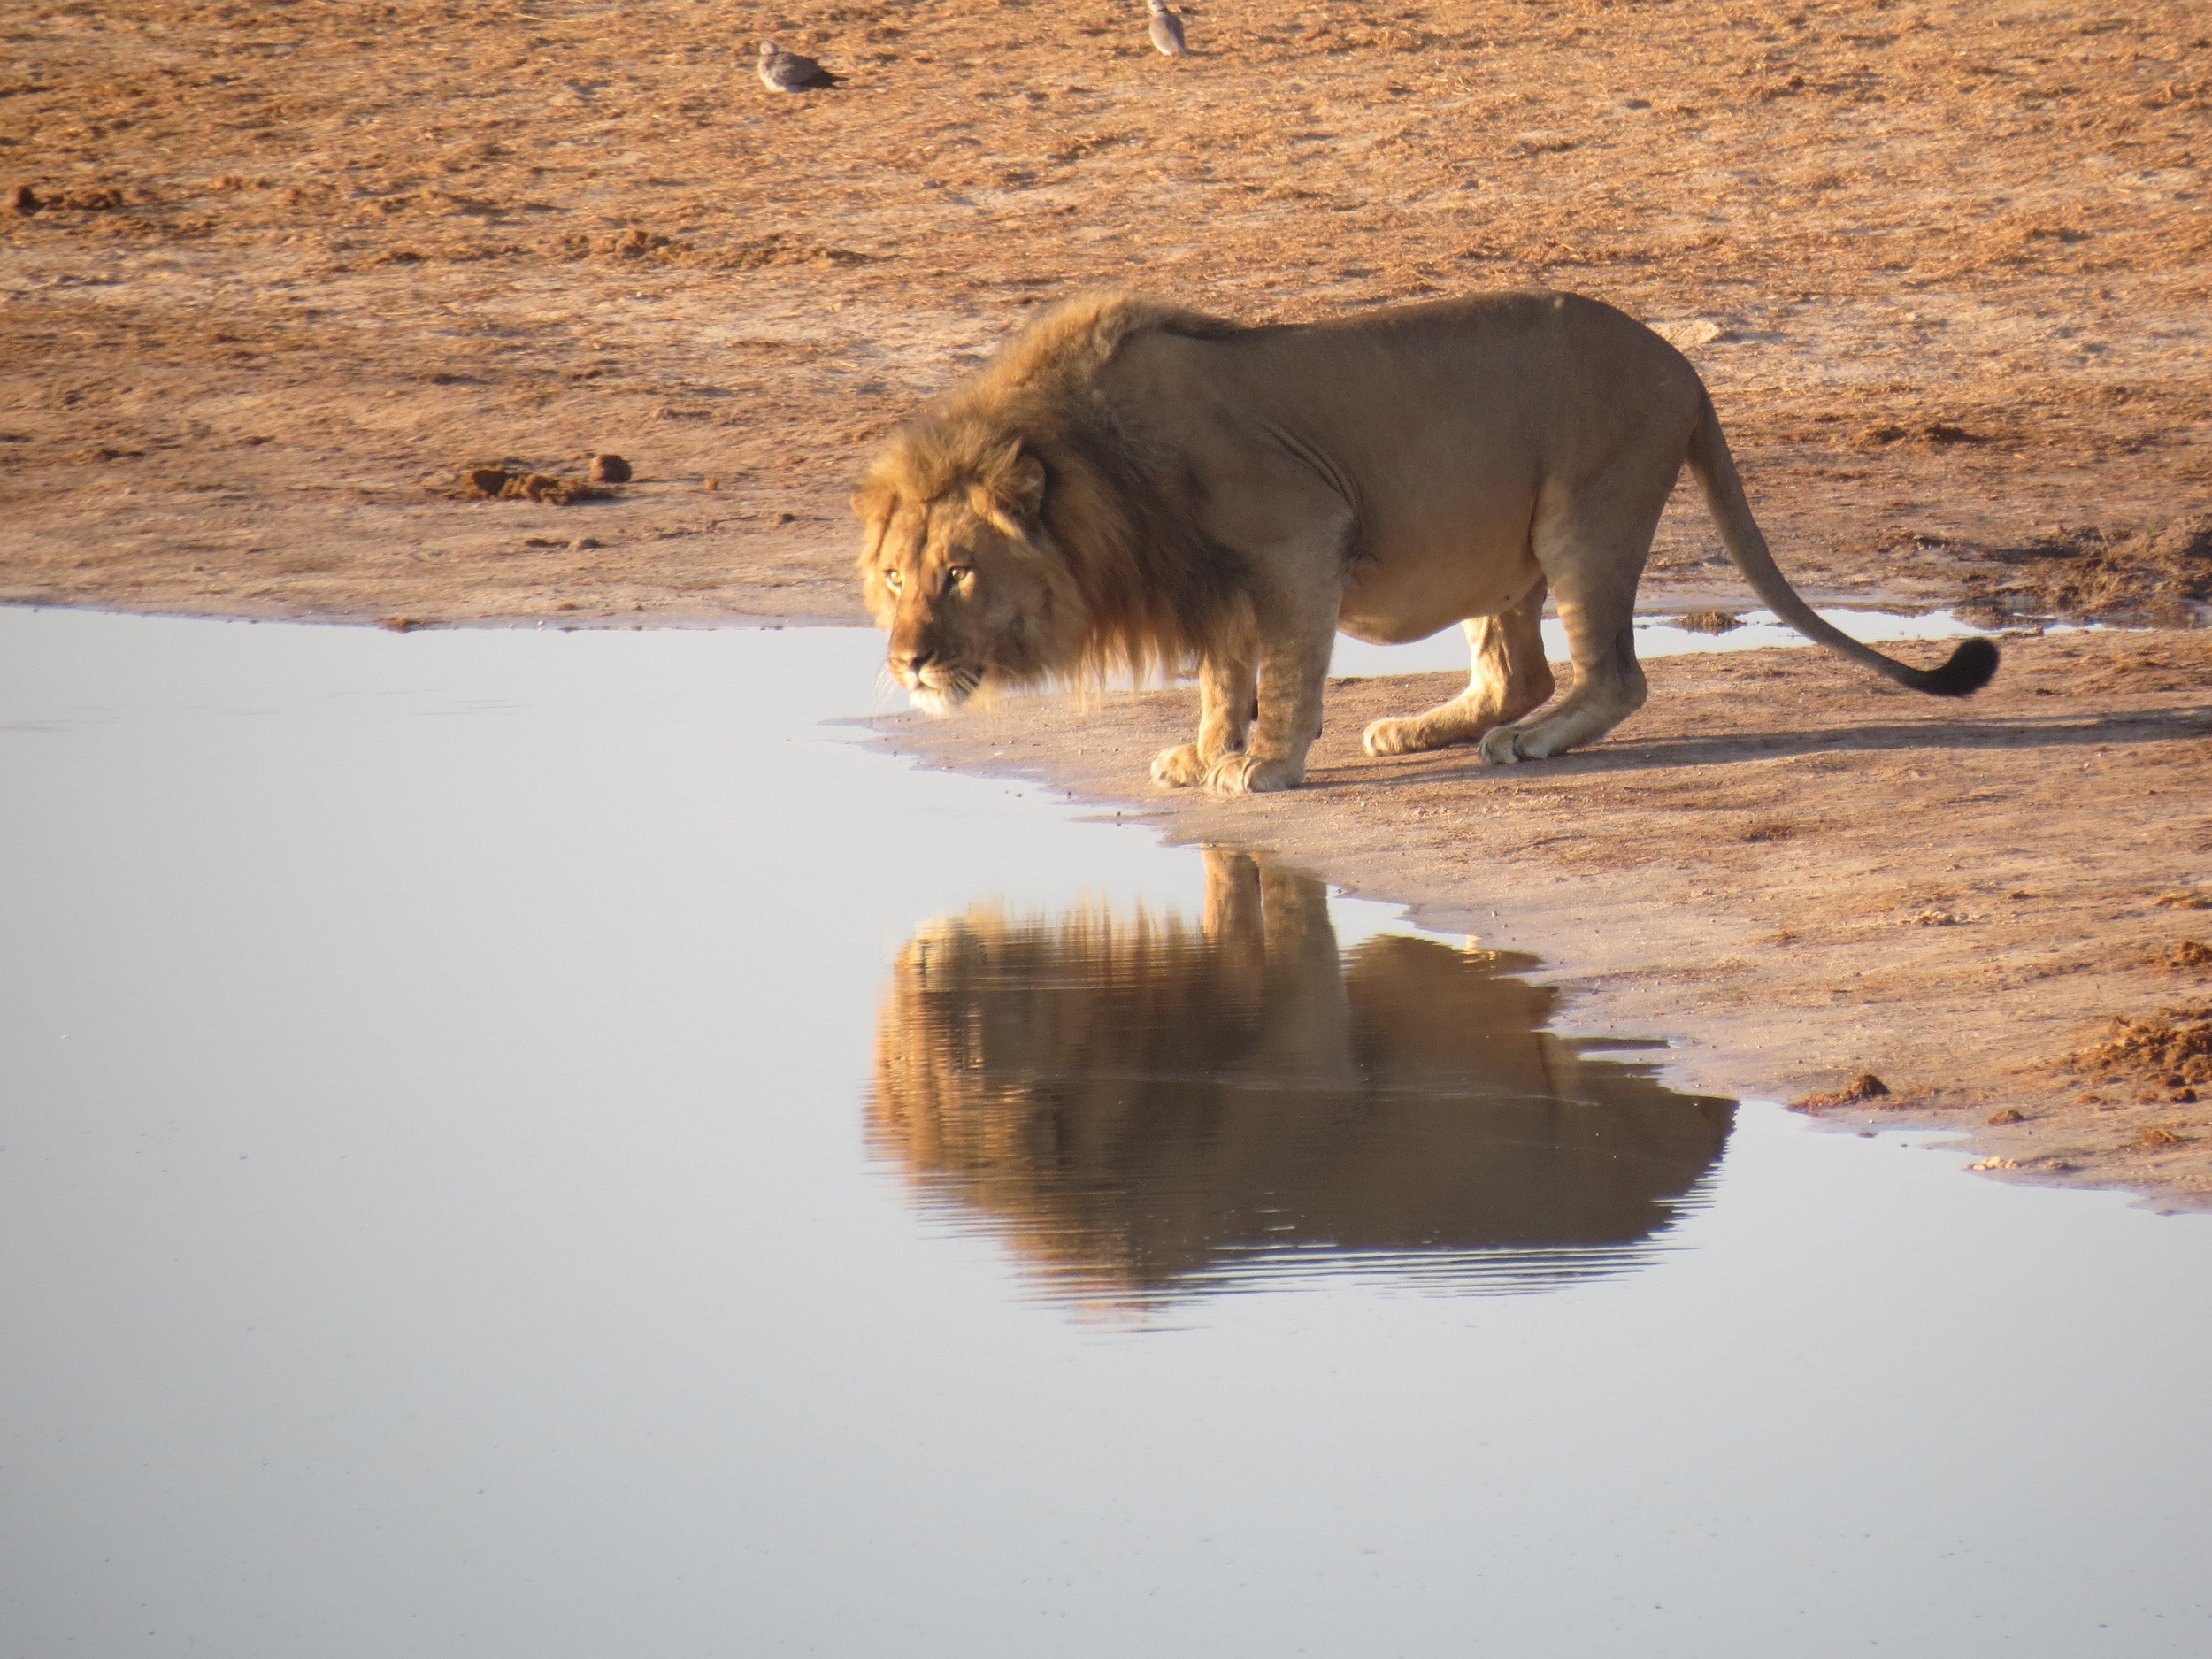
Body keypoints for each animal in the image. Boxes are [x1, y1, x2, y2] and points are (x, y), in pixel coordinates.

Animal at [854, 290, 1998, 793]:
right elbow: (1224, 676)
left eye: (957, 572)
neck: (1096, 464)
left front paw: (1262, 768)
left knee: (1612, 677)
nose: (905, 663)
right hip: (1500, 548)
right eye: (896, 576)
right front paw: (1206, 750)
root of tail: (1684, 365)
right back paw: (1415, 731)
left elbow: (1287, 668)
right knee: (1518, 671)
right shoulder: (1214, 579)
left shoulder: (1299, 530)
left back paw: (1526, 747)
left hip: (1584, 515)